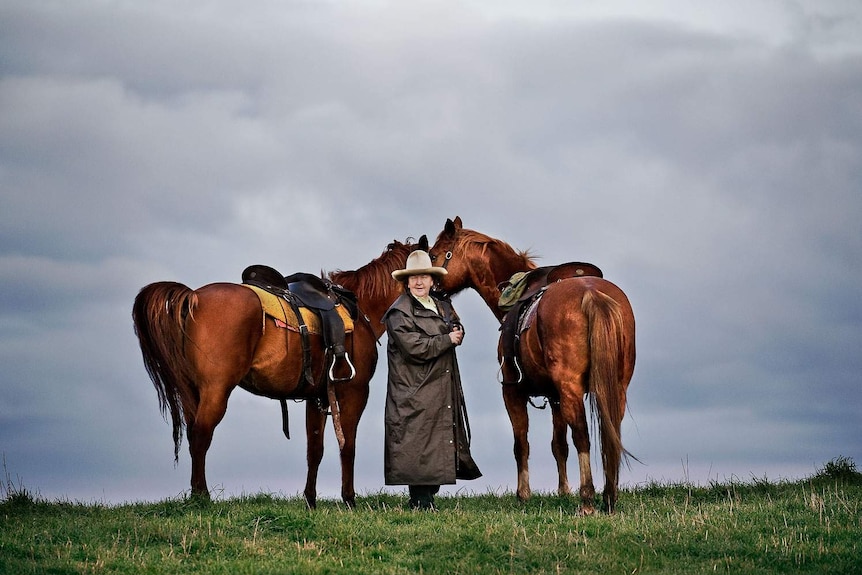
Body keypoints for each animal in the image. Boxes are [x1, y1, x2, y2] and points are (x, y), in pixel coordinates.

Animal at [132, 236, 426, 506]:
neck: (359, 307)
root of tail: (193, 296)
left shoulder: (317, 397)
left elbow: (315, 449)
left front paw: (310, 500)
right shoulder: (353, 391)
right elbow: (348, 445)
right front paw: (349, 499)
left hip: (192, 391)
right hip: (216, 390)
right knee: (201, 435)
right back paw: (201, 496)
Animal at [430, 219, 636, 512]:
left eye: (435, 255)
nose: (431, 290)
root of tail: (591, 293)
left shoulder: (512, 392)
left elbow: (521, 444)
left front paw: (523, 493)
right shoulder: (556, 397)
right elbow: (559, 445)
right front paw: (563, 490)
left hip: (570, 388)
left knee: (582, 435)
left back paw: (587, 498)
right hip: (615, 387)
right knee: (611, 433)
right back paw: (609, 496)